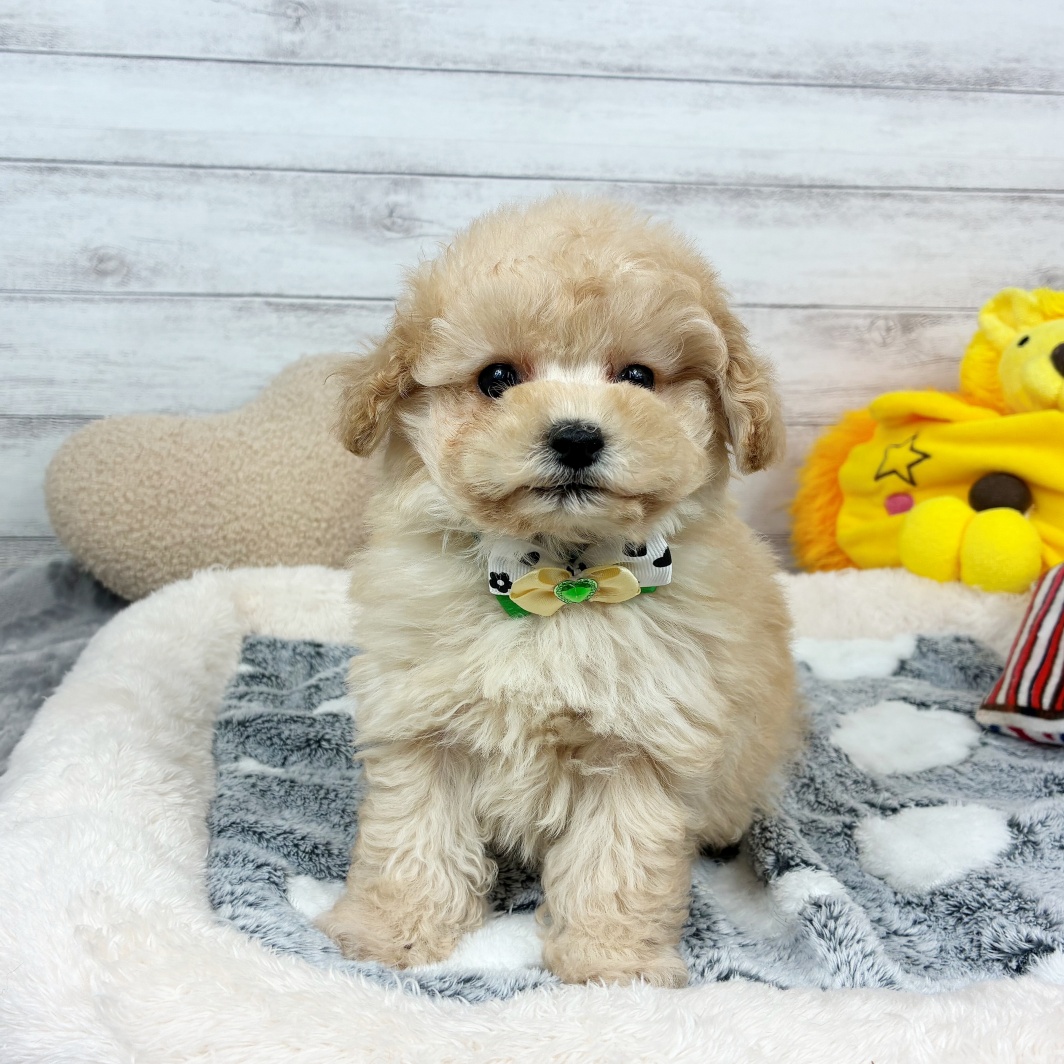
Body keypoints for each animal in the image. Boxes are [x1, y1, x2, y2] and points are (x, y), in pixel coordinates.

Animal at [317, 195, 800, 987]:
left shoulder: (643, 745)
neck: (560, 580)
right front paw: (393, 934)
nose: (576, 437)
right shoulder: (422, 724)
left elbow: (618, 864)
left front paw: (611, 965)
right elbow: (412, 838)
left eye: (638, 375)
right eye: (495, 378)